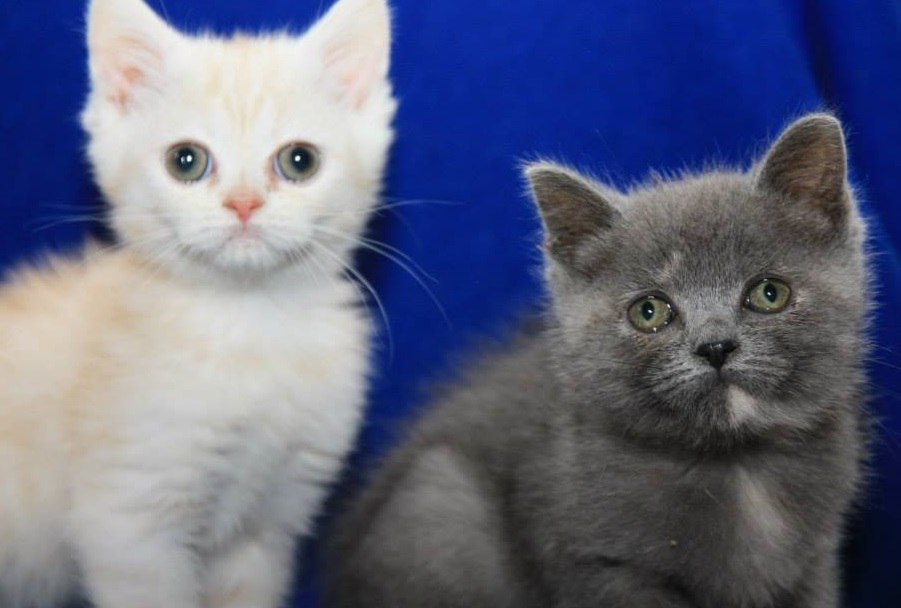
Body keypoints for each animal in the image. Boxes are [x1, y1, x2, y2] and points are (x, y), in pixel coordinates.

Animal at [0, 0, 394, 604]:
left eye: (299, 161)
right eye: (185, 160)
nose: (243, 203)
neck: (250, 324)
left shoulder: (265, 525)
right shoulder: (127, 520)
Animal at [326, 115, 868, 608]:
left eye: (769, 293)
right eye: (650, 312)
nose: (716, 346)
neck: (737, 467)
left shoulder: (814, 561)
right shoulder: (602, 566)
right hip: (437, 505)